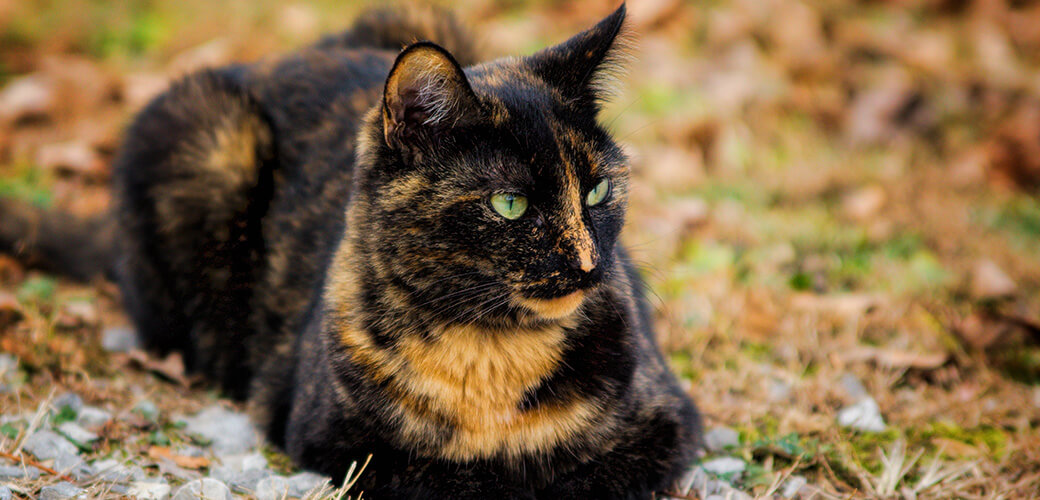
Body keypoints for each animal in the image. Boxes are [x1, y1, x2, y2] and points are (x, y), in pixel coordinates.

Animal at [0, 4, 703, 498]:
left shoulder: (666, 424)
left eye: (598, 189)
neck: (490, 355)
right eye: (511, 204)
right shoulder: (336, 440)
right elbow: (454, 478)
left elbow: (581, 473)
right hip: (207, 139)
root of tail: (272, 61)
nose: (589, 263)